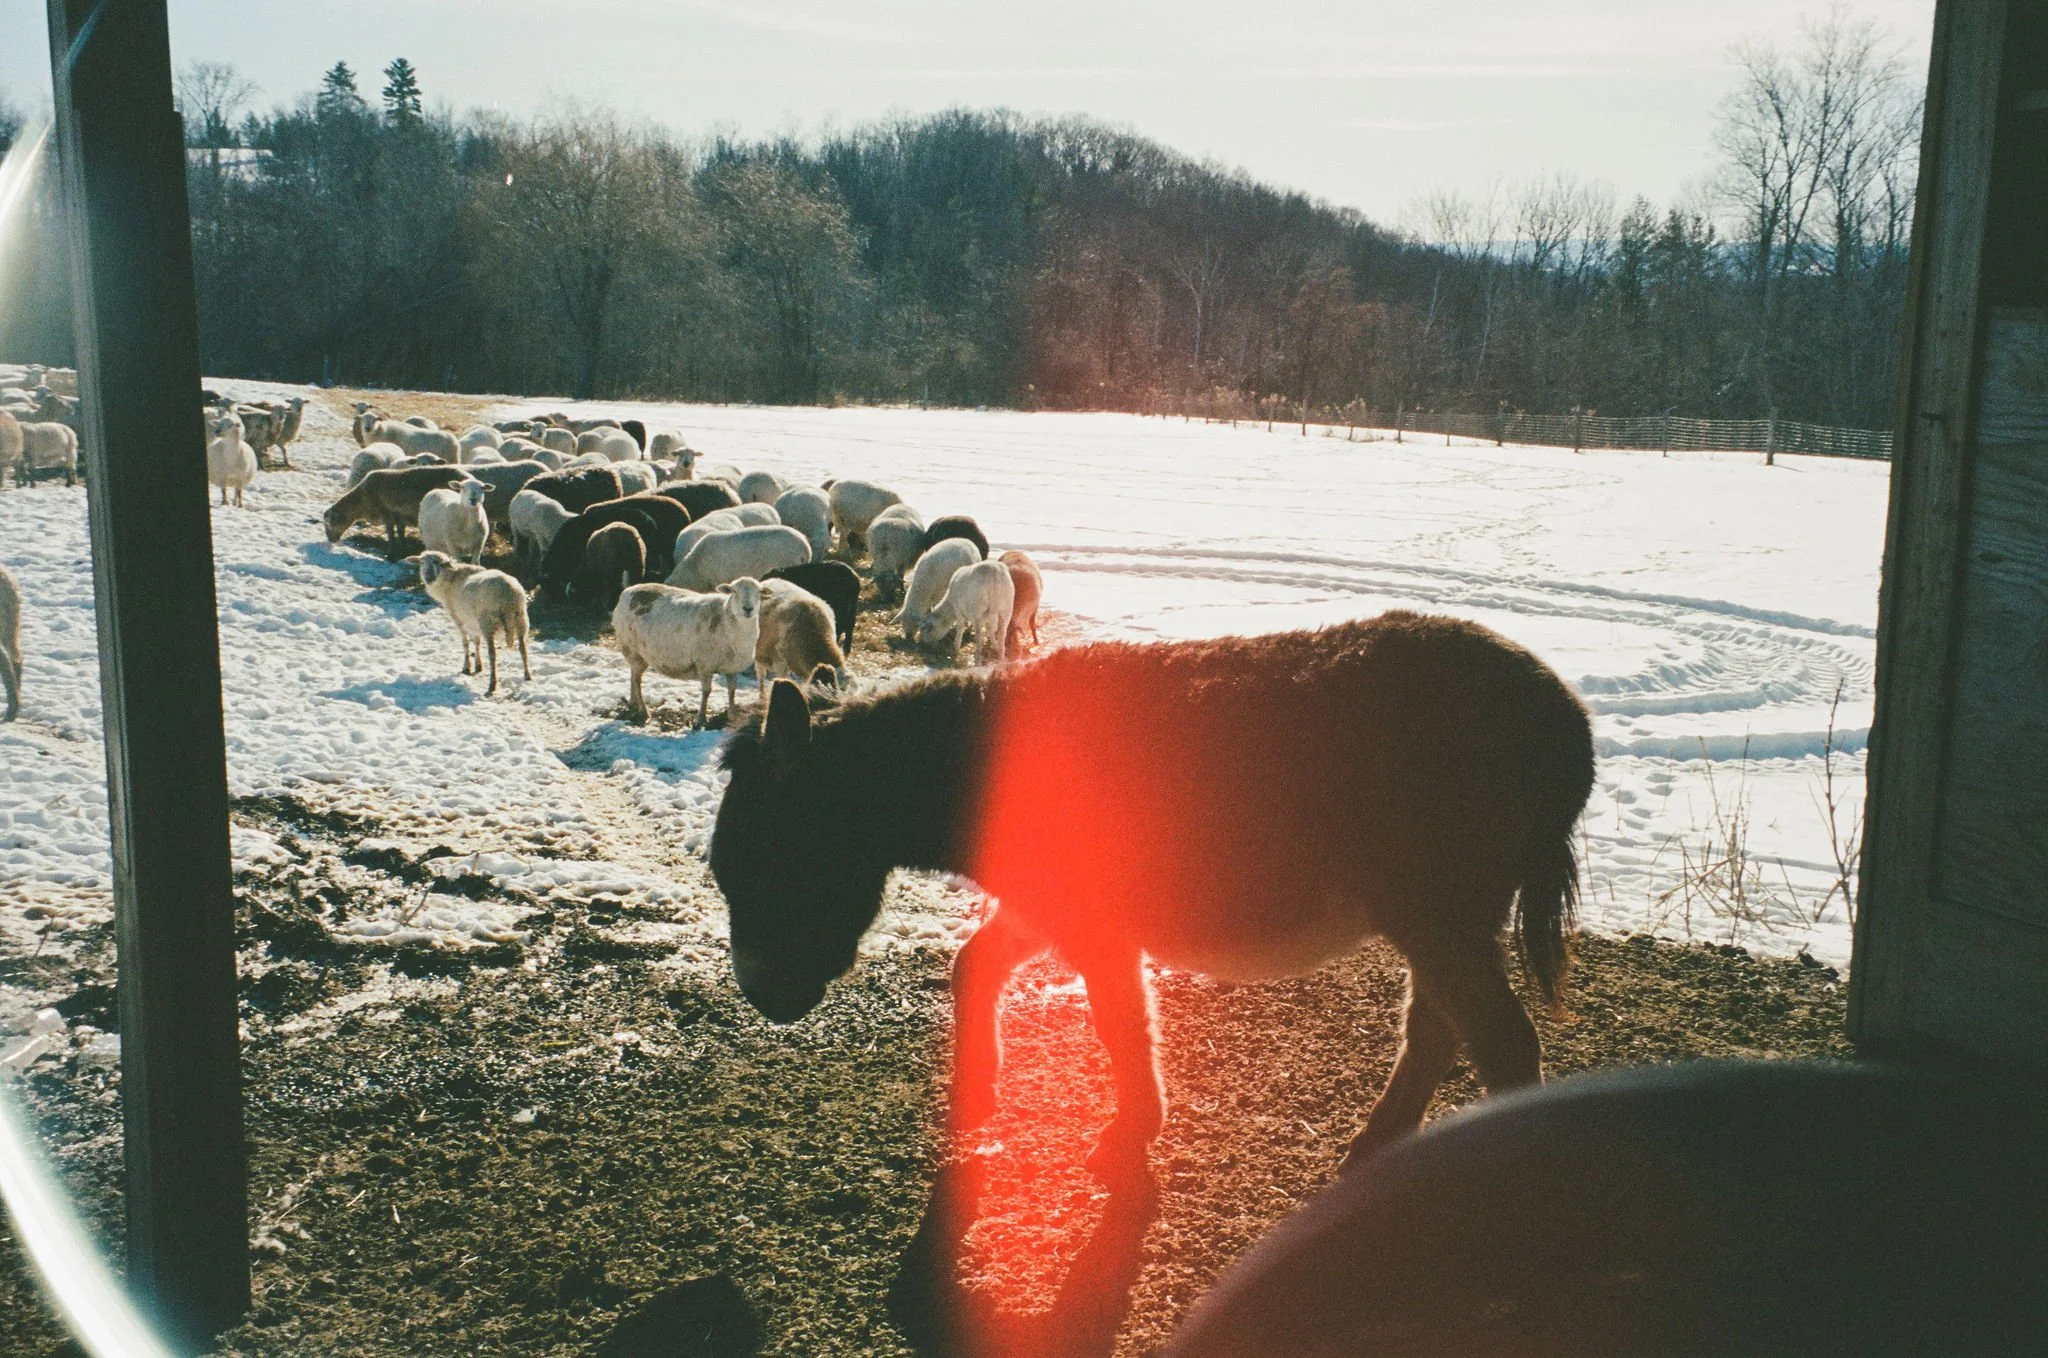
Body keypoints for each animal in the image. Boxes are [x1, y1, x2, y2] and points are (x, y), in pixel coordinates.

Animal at [323, 464, 474, 551]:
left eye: (329, 523)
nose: (330, 541)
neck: (362, 500)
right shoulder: (399, 515)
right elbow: (400, 530)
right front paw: (403, 545)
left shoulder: (385, 511)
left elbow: (390, 531)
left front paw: (392, 547)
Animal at [413, 551, 532, 696]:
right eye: (422, 563)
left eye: (439, 564)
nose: (428, 578)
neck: (450, 579)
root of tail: (508, 593)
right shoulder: (473, 623)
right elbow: (477, 641)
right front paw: (478, 666)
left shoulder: (458, 618)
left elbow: (465, 643)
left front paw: (467, 667)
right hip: (521, 619)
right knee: (523, 649)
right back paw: (527, 676)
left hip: (488, 622)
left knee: (493, 654)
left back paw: (492, 685)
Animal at [612, 578, 762, 725]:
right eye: (733, 591)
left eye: (759, 592)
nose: (748, 609)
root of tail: (627, 591)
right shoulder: (704, 664)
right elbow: (707, 692)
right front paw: (701, 719)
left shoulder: (732, 667)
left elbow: (732, 691)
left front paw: (732, 715)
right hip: (632, 649)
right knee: (637, 680)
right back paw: (644, 711)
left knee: (633, 675)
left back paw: (633, 703)